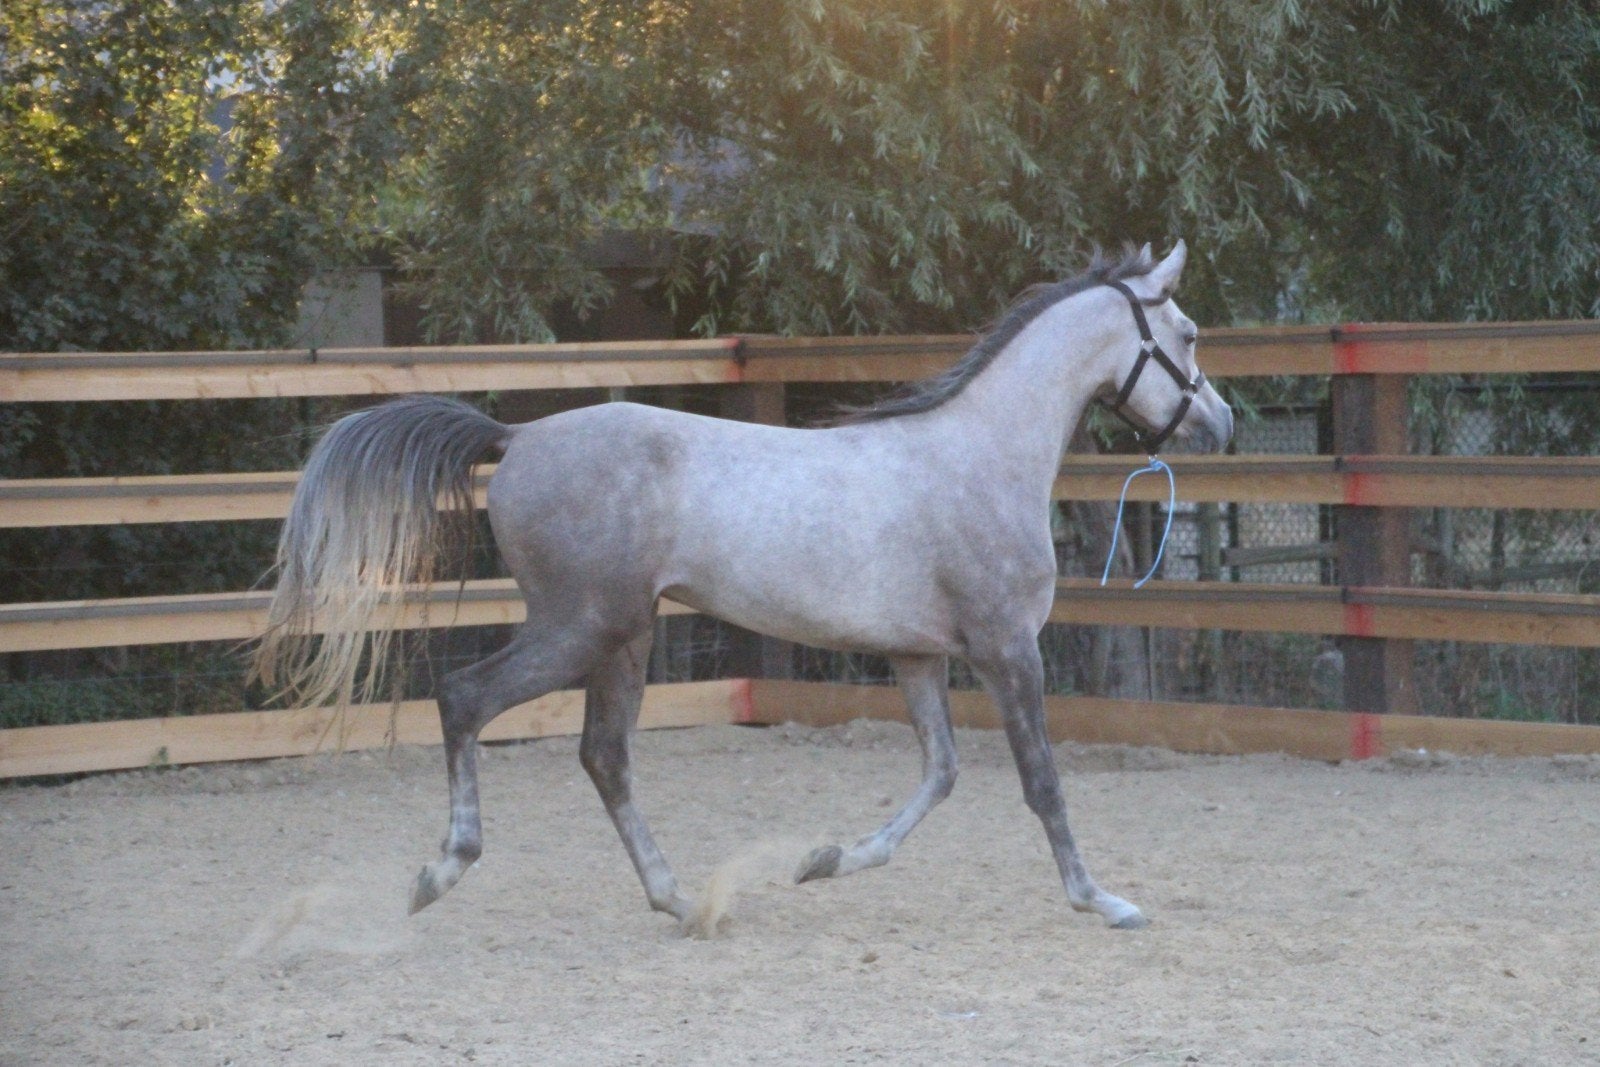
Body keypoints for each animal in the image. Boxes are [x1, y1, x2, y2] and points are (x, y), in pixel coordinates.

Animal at [252, 239, 1232, 931]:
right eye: (1186, 336)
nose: (1221, 424)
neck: (984, 453)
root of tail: (519, 436)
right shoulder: (1006, 647)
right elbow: (1040, 782)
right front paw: (1102, 899)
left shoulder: (918, 655)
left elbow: (942, 773)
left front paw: (823, 860)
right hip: (580, 626)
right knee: (465, 698)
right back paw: (440, 871)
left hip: (626, 636)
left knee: (604, 756)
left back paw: (683, 902)